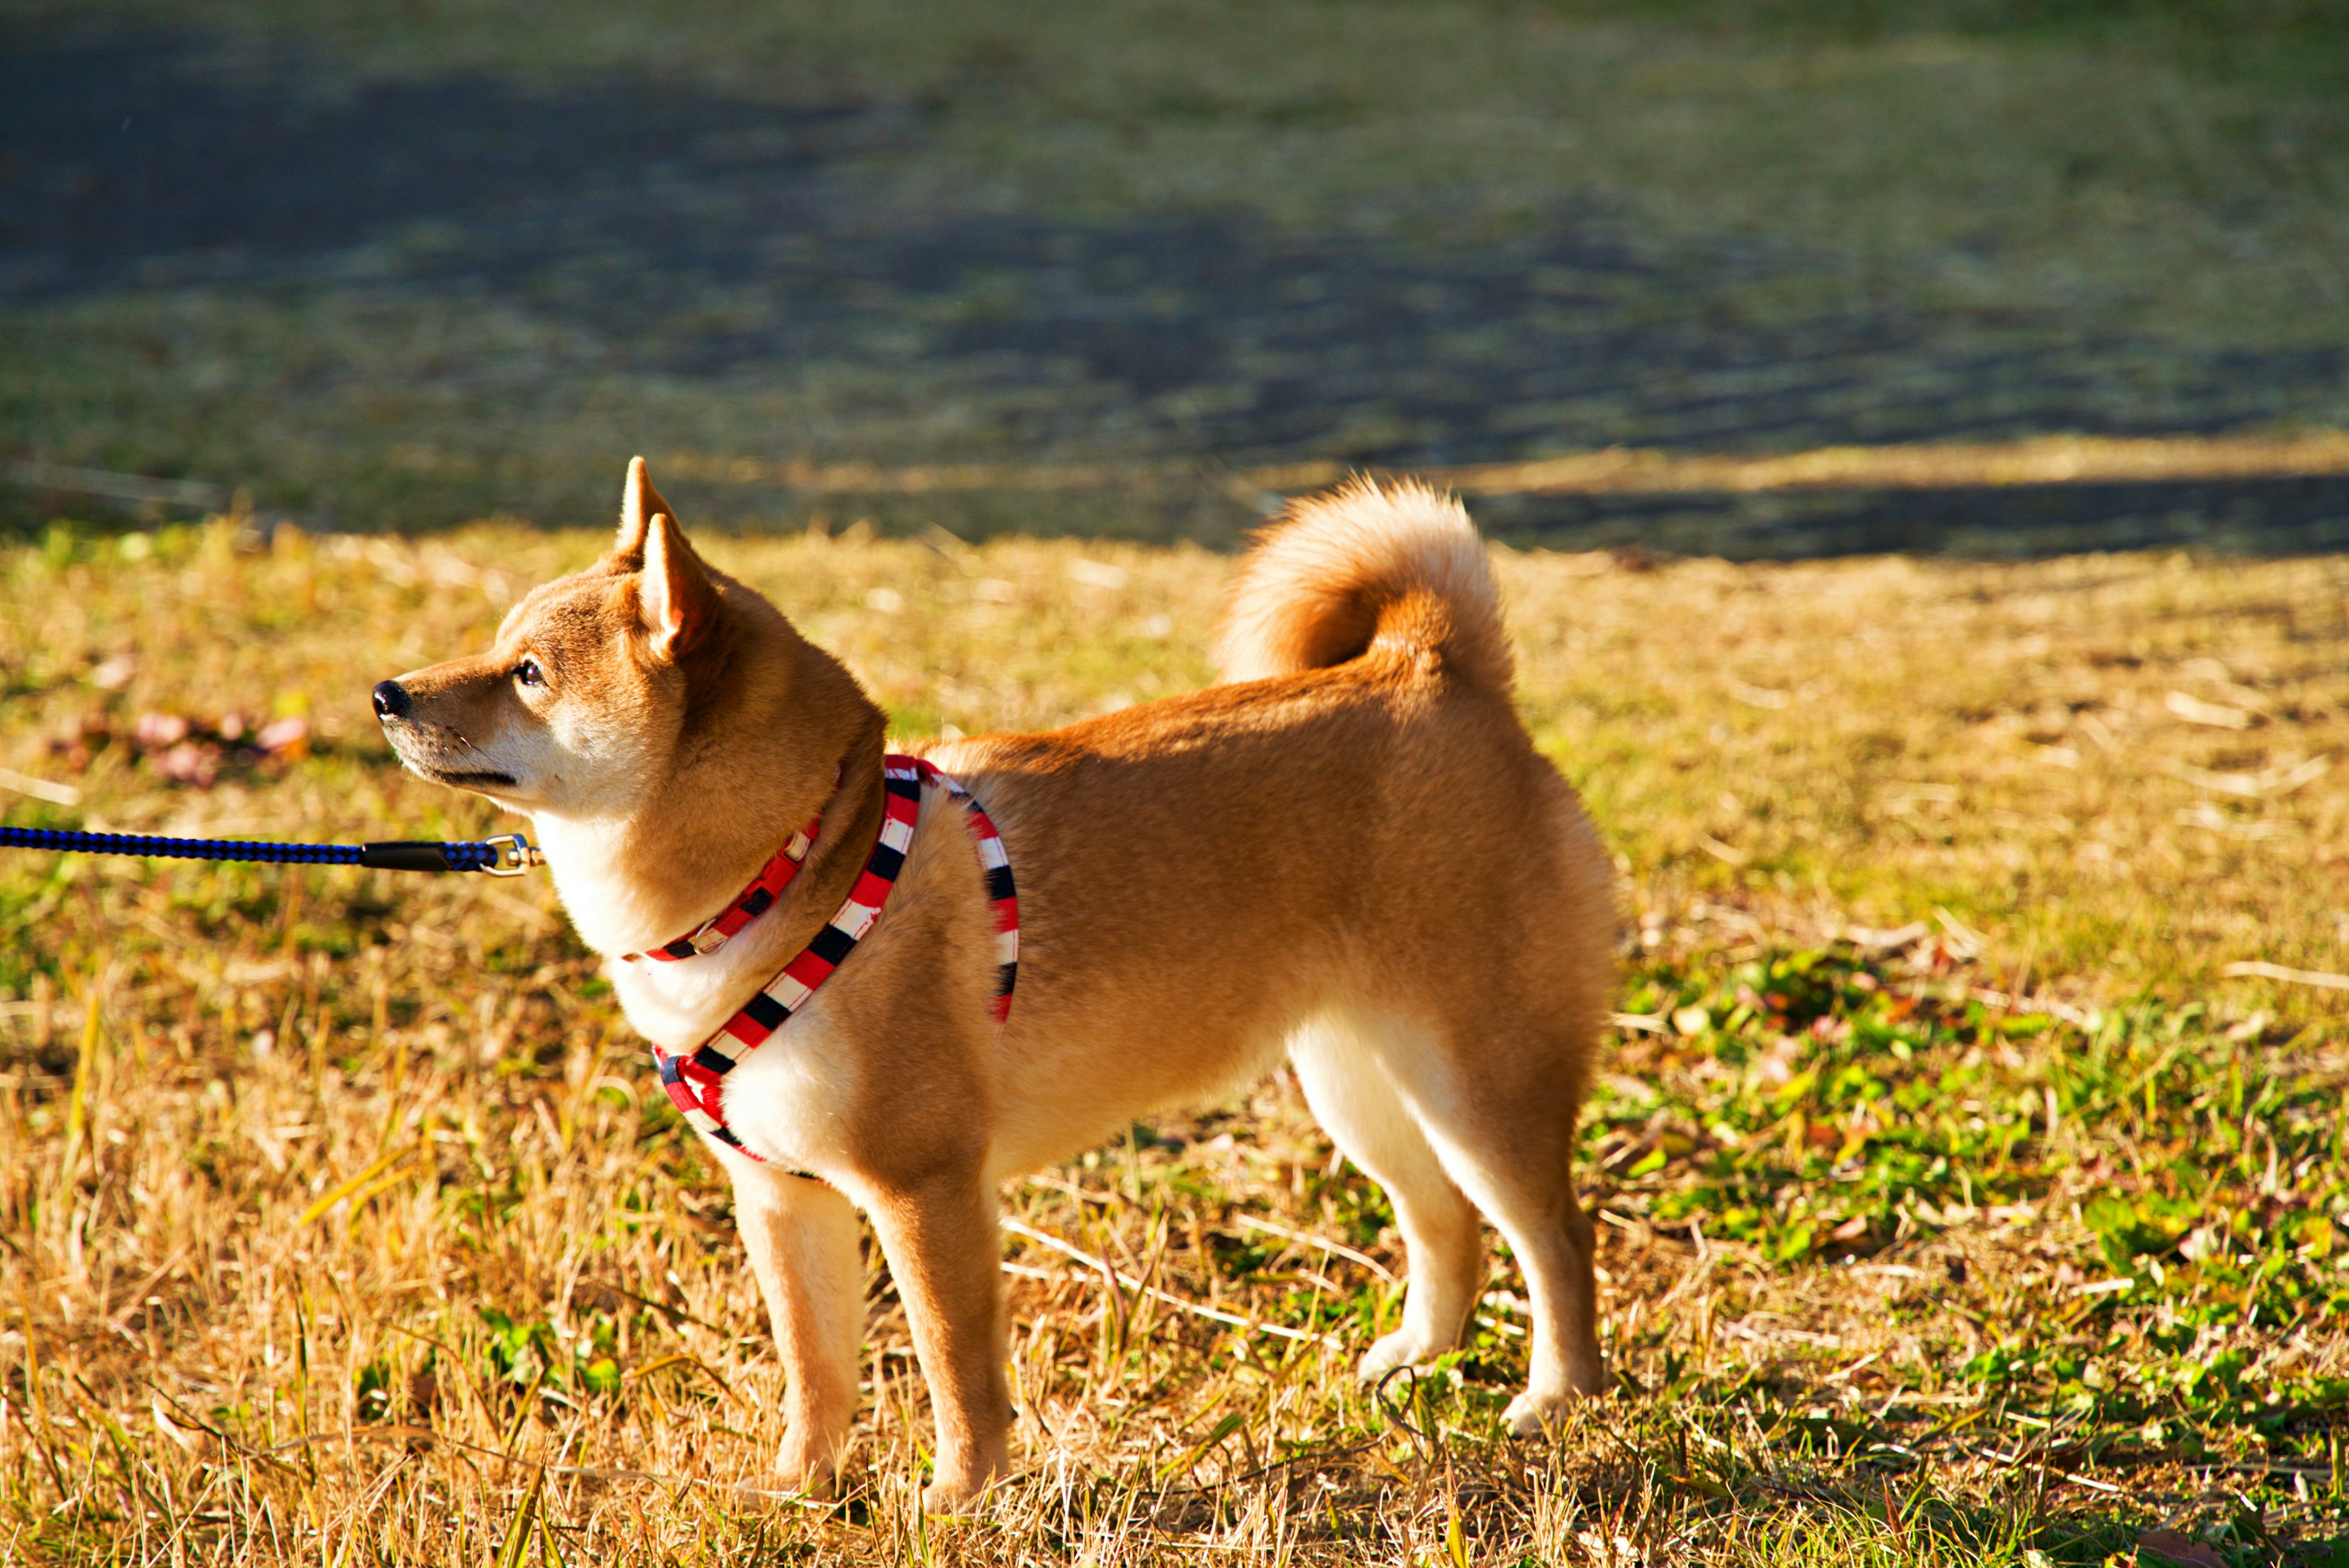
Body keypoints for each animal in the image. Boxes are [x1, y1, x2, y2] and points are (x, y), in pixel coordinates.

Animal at [376, 463, 1616, 1504]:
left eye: (529, 673)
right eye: (499, 645)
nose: (388, 692)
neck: (796, 869)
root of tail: (1431, 668)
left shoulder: (923, 1187)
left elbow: (956, 1372)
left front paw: (956, 1500)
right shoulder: (782, 1196)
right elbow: (817, 1373)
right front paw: (799, 1490)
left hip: (1476, 1082)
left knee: (1553, 1234)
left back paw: (1558, 1396)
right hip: (1359, 1085)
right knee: (1445, 1221)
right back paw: (1418, 1359)